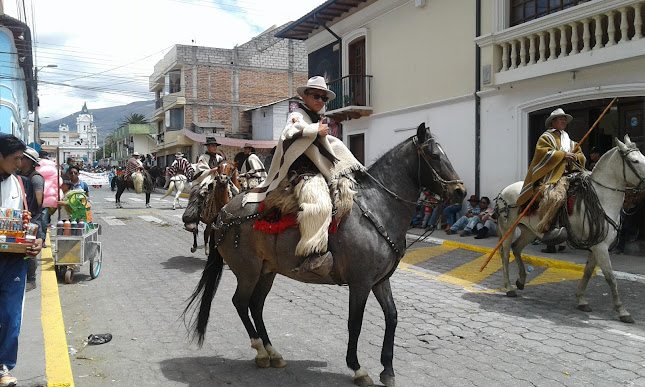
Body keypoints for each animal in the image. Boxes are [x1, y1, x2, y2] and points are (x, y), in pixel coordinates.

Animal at [184, 124, 466, 387]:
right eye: (434, 155)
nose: (460, 191)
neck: (377, 209)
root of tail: (223, 215)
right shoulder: (361, 283)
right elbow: (355, 322)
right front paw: (357, 368)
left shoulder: (380, 281)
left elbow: (392, 317)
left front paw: (388, 369)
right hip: (248, 271)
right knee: (241, 303)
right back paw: (261, 351)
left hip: (267, 270)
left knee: (256, 304)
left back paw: (273, 352)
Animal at [496, 136, 640, 324]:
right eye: (635, 161)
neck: (603, 199)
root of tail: (504, 191)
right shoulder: (601, 247)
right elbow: (611, 277)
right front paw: (622, 311)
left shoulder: (597, 245)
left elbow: (588, 272)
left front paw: (581, 300)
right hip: (508, 228)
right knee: (506, 254)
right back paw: (509, 288)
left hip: (529, 231)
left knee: (517, 248)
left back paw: (521, 280)